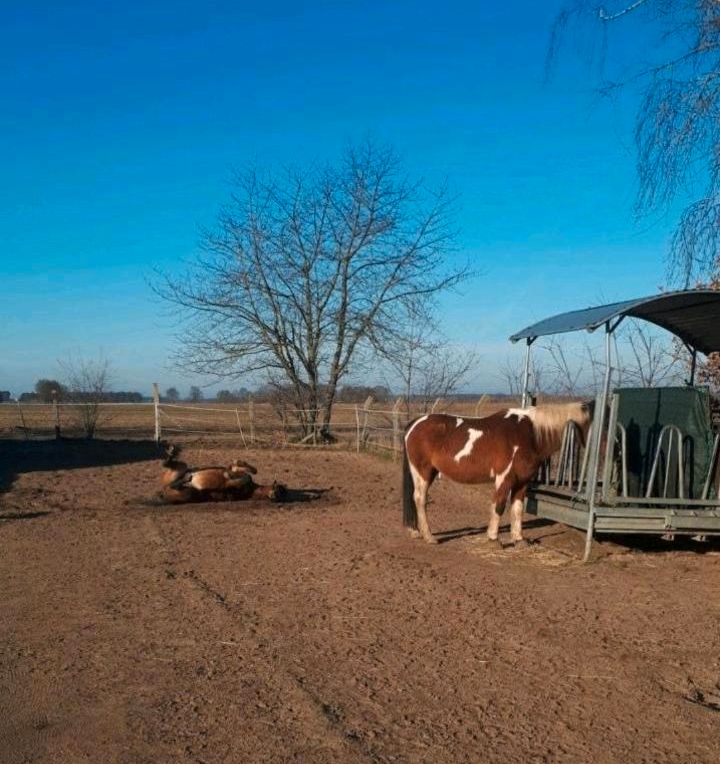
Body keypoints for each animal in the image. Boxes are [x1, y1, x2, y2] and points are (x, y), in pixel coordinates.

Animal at [402, 402, 592, 548]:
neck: (529, 433)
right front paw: (493, 539)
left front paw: (518, 539)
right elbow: (499, 506)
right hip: (423, 471)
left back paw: (417, 532)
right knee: (420, 499)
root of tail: (415, 423)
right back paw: (429, 537)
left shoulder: (522, 482)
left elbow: (517, 509)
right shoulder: (504, 478)